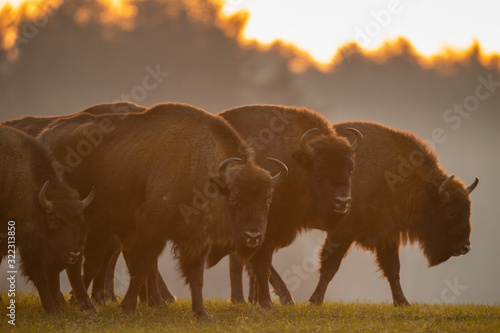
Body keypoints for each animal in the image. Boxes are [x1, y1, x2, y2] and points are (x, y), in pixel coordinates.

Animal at [0, 124, 94, 314]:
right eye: (54, 221)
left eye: (79, 221)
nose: (73, 254)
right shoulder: (29, 245)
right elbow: (38, 274)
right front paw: (52, 310)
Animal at [38, 102, 290, 318]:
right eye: (235, 198)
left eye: (268, 200)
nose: (253, 236)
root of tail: (46, 135)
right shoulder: (151, 230)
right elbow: (141, 269)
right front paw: (128, 310)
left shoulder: (198, 240)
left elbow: (196, 277)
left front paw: (203, 314)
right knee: (76, 263)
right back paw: (75, 305)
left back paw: (73, 303)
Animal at [205, 105, 362, 308]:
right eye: (320, 168)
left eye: (350, 167)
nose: (342, 202)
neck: (296, 164)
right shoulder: (263, 231)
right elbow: (261, 266)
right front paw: (274, 301)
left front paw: (255, 300)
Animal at [244, 120, 478, 304]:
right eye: (449, 211)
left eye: (468, 209)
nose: (465, 247)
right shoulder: (342, 234)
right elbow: (330, 266)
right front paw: (315, 300)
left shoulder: (387, 235)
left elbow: (393, 269)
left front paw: (403, 302)